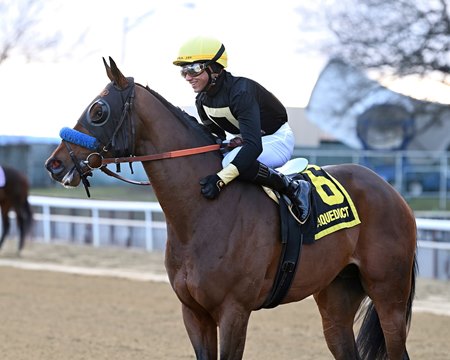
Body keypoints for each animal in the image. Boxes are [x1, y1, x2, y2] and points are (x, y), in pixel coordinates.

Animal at [45, 57, 418, 358]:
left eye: (98, 110)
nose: (55, 164)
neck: (202, 214)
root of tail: (391, 191)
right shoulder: (193, 312)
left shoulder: (234, 311)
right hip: (336, 297)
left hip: (389, 295)